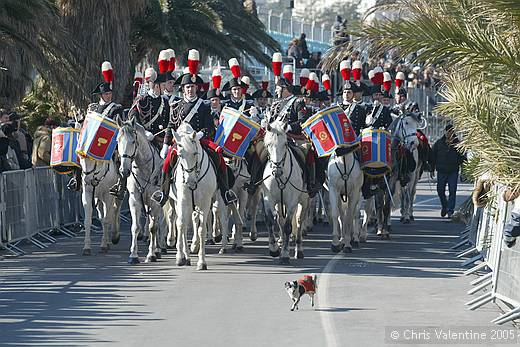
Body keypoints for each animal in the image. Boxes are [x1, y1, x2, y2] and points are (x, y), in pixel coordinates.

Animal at [116, 118, 166, 266]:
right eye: (118, 140)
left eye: (133, 141)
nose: (124, 170)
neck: (144, 168)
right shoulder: (135, 200)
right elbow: (135, 227)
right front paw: (133, 256)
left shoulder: (155, 201)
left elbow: (153, 227)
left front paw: (151, 254)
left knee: (161, 221)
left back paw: (159, 248)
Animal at [171, 123, 217, 270]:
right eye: (180, 154)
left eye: (195, 154)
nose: (190, 182)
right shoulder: (182, 200)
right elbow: (181, 225)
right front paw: (180, 257)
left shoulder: (205, 203)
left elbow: (202, 229)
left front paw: (202, 262)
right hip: (178, 202)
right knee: (182, 224)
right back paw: (185, 255)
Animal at [260, 121, 308, 266]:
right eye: (268, 144)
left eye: (285, 144)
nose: (277, 170)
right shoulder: (268, 198)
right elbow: (270, 220)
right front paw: (274, 249)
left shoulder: (292, 202)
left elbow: (287, 226)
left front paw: (285, 255)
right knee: (280, 220)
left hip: (304, 200)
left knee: (299, 221)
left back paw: (299, 250)